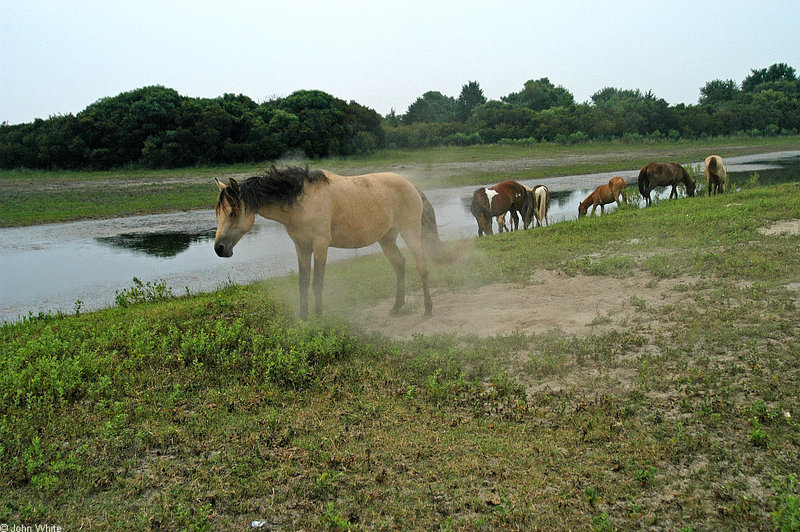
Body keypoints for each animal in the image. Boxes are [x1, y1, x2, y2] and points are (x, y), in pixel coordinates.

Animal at [212, 166, 446, 318]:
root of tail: (411, 185)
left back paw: (428, 309)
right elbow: (303, 283)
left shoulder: (320, 245)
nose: (219, 248)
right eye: (218, 213)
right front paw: (303, 318)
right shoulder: (302, 247)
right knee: (400, 265)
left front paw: (318, 317)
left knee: (421, 267)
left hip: (411, 232)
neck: (302, 201)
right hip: (386, 238)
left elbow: (317, 283)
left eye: (233, 213)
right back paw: (397, 307)